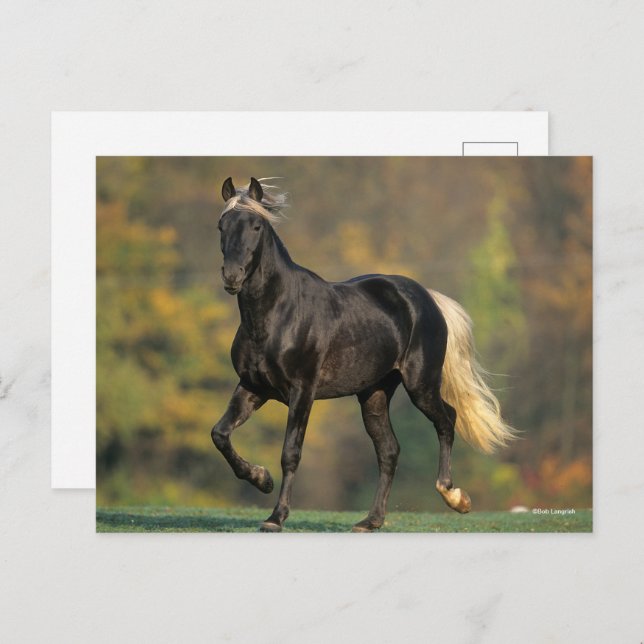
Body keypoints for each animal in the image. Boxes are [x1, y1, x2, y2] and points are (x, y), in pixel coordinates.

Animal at [211, 177, 515, 532]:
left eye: (256, 226)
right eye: (221, 225)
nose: (232, 276)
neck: (277, 316)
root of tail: (426, 297)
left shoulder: (302, 391)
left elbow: (291, 452)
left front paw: (275, 517)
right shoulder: (253, 387)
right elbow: (220, 434)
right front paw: (262, 479)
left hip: (421, 385)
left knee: (447, 420)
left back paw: (454, 497)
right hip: (374, 394)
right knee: (389, 450)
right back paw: (371, 521)